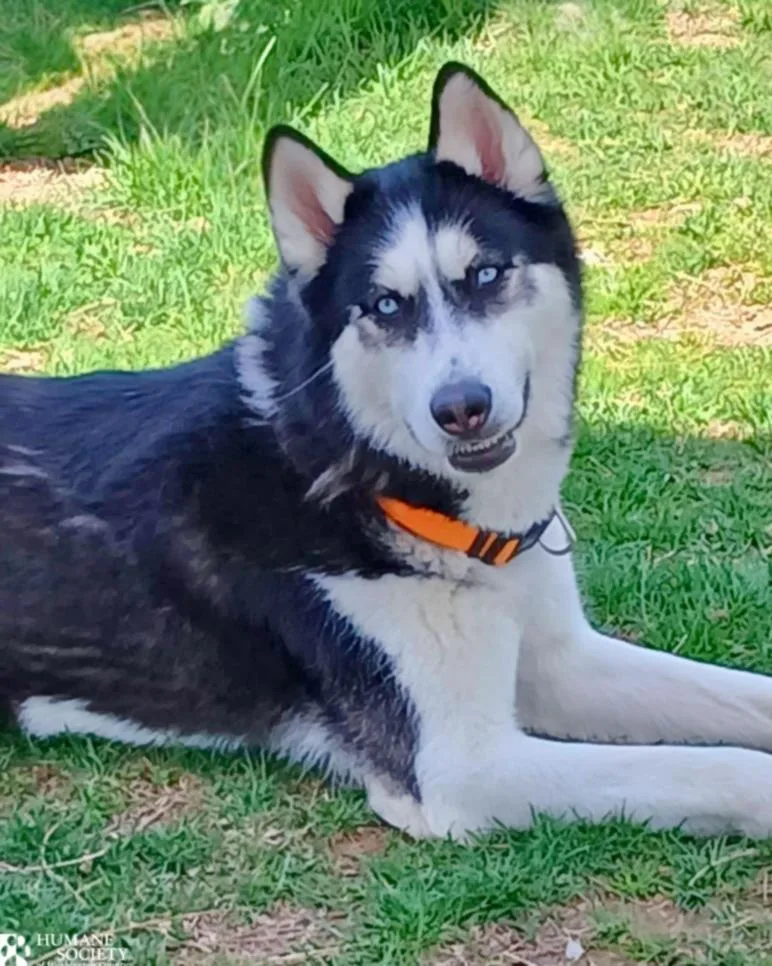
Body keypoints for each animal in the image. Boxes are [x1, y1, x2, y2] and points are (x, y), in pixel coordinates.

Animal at [2, 64, 772, 839]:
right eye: (385, 306)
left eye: (486, 275)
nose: (461, 408)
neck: (362, 472)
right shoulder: (461, 769)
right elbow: (714, 769)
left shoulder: (563, 664)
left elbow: (742, 696)